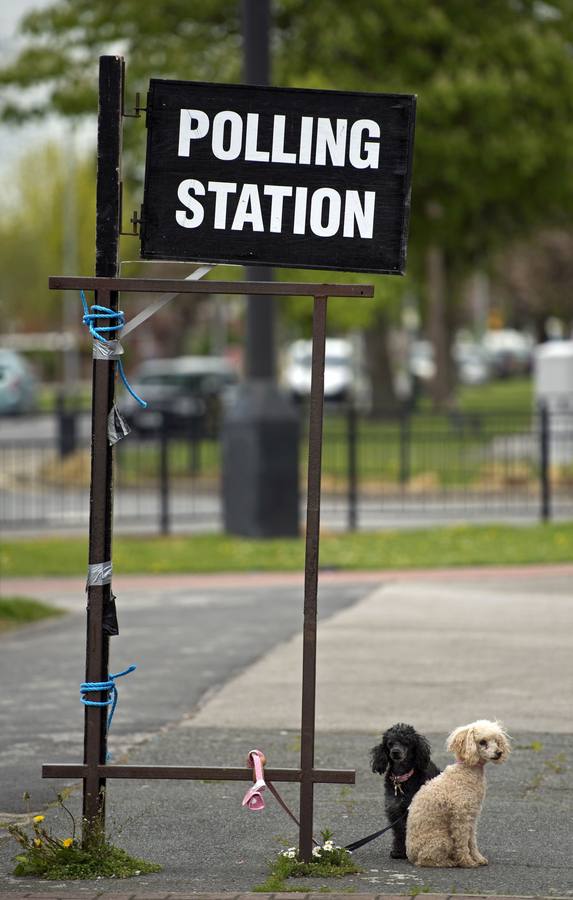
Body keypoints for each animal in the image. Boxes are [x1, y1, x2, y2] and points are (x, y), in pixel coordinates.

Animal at [368, 724, 440, 856]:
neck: (401, 778)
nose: (395, 752)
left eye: (406, 742)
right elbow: (400, 832)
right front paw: (399, 851)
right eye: (390, 743)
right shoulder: (394, 809)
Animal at [406, 716, 510, 864]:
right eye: (482, 742)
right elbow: (462, 842)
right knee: (426, 860)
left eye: (496, 741)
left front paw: (478, 858)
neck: (467, 772)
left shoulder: (471, 817)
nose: (499, 753)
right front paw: (467, 862)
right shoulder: (460, 817)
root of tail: (410, 855)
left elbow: (472, 841)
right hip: (442, 840)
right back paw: (449, 862)